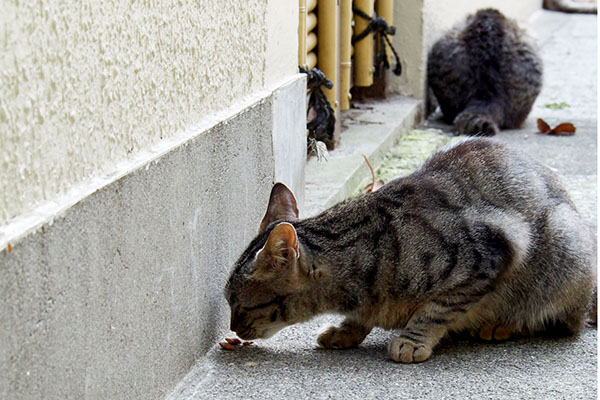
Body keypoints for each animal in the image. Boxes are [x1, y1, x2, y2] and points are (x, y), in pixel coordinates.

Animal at [225, 138, 596, 362]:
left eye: (238, 306)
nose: (232, 329)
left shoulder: (488, 254)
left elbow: (437, 309)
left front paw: (413, 339)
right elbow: (361, 317)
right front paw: (347, 330)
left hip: (563, 243)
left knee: (564, 322)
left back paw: (501, 325)